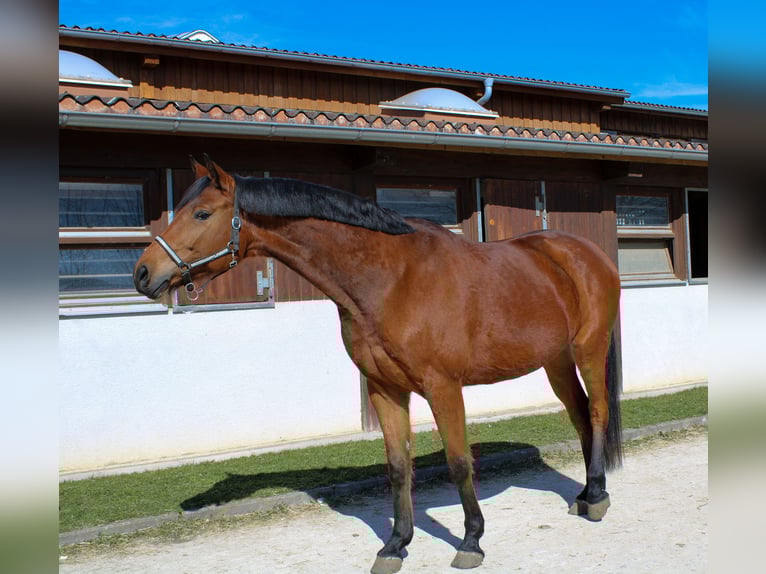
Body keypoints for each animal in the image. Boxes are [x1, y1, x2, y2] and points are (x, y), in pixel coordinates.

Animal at [134, 156, 623, 574]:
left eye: (201, 214)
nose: (142, 273)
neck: (390, 279)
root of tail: (584, 253)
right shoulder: (384, 388)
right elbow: (397, 466)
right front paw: (395, 545)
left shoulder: (443, 387)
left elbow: (458, 461)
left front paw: (471, 541)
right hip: (555, 361)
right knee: (580, 417)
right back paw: (585, 492)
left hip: (588, 349)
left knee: (597, 411)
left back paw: (599, 498)